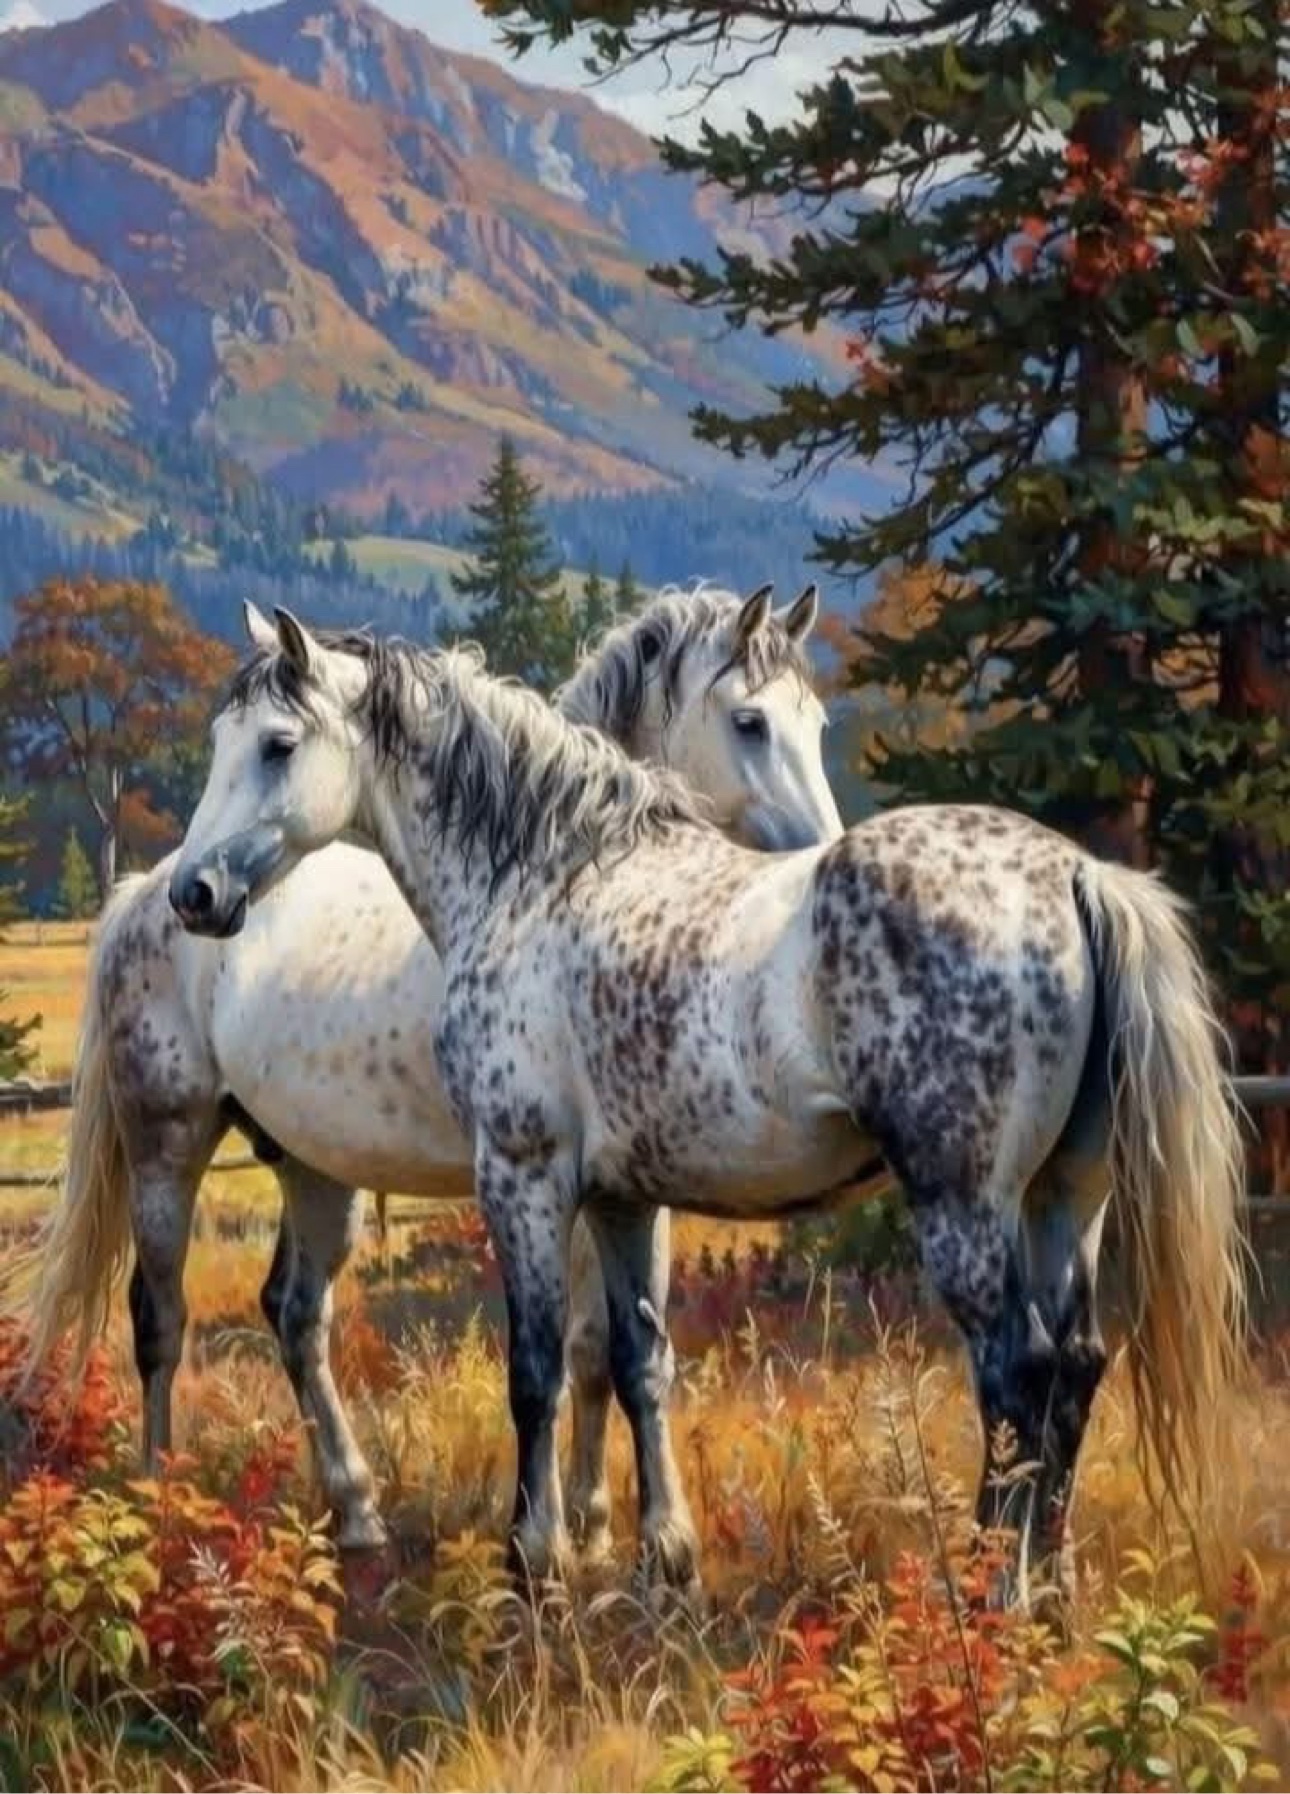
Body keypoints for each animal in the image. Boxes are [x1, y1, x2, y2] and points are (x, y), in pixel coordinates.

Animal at [16, 584, 840, 1561]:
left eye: (815, 722)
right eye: (750, 721)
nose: (824, 850)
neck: (569, 890)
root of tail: (146, 892)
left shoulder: (629, 1189)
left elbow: (605, 1347)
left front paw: (598, 1524)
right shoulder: (540, 1177)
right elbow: (572, 1350)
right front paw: (576, 1526)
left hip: (313, 1171)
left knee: (295, 1314)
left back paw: (357, 1510)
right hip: (166, 1148)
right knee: (159, 1317)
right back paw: (158, 1498)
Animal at [162, 609, 1247, 1603]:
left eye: (277, 744)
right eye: (219, 740)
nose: (195, 892)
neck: (539, 877)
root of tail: (1076, 874)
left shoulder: (521, 1176)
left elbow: (536, 1368)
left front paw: (535, 1564)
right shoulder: (621, 1199)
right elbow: (634, 1358)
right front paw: (660, 1560)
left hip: (968, 1205)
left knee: (1019, 1376)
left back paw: (993, 1594)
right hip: (1065, 1197)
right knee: (1075, 1370)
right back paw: (1051, 1595)